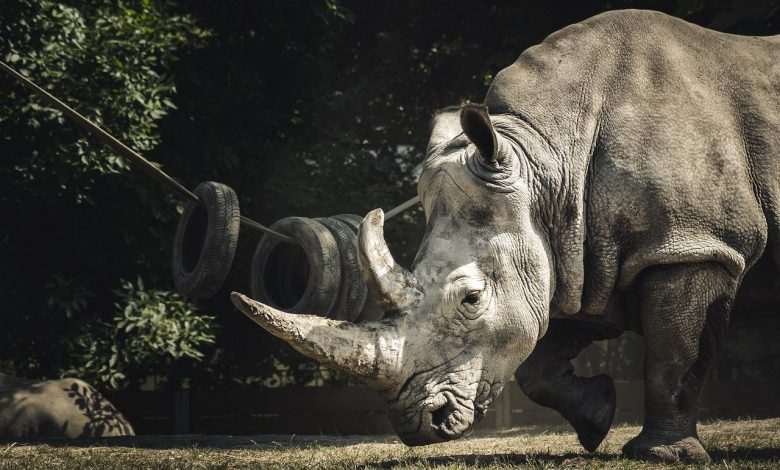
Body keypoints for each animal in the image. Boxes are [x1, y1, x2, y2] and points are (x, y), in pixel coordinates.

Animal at [231, 9, 780, 462]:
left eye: (471, 299)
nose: (418, 425)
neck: (549, 159)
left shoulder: (693, 244)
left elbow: (675, 354)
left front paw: (662, 454)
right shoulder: (584, 255)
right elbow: (539, 363)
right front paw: (597, 417)